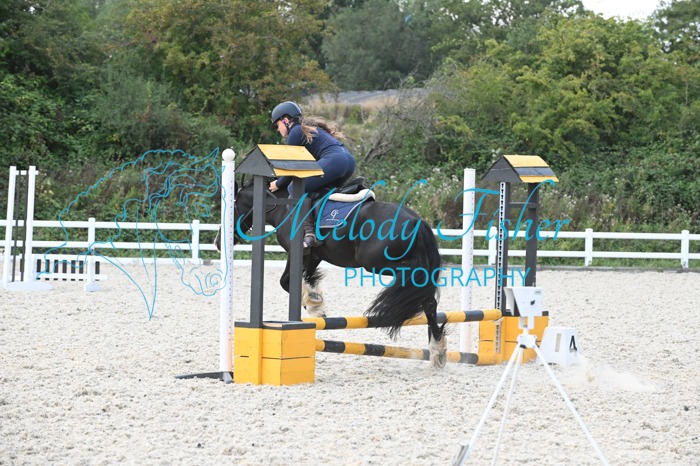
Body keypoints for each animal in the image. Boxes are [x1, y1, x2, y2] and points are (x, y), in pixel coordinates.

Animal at [219, 179, 447, 368]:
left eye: (231, 207)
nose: (218, 243)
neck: (282, 206)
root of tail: (418, 222)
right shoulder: (313, 256)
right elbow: (300, 279)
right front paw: (315, 304)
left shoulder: (298, 252)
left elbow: (286, 281)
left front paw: (313, 302)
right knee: (427, 300)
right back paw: (437, 350)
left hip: (374, 263)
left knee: (415, 284)